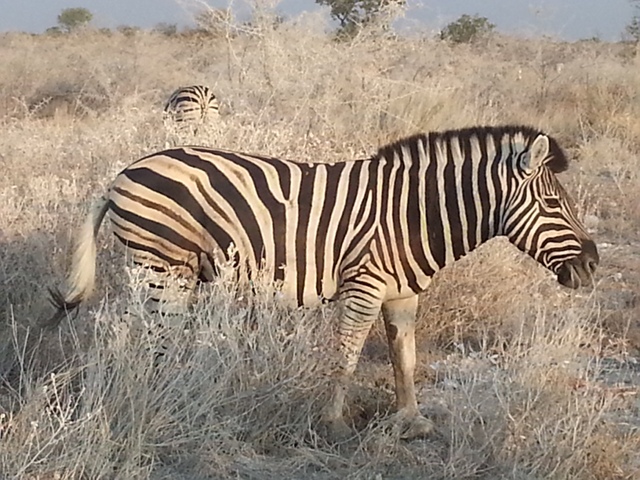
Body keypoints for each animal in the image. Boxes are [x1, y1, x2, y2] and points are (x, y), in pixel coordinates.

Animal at [46, 124, 600, 442]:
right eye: (554, 205)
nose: (594, 266)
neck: (413, 215)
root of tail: (123, 174)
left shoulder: (402, 292)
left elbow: (405, 357)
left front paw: (412, 420)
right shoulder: (365, 284)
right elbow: (347, 355)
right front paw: (333, 423)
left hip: (160, 271)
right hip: (162, 267)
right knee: (144, 336)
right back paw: (156, 395)